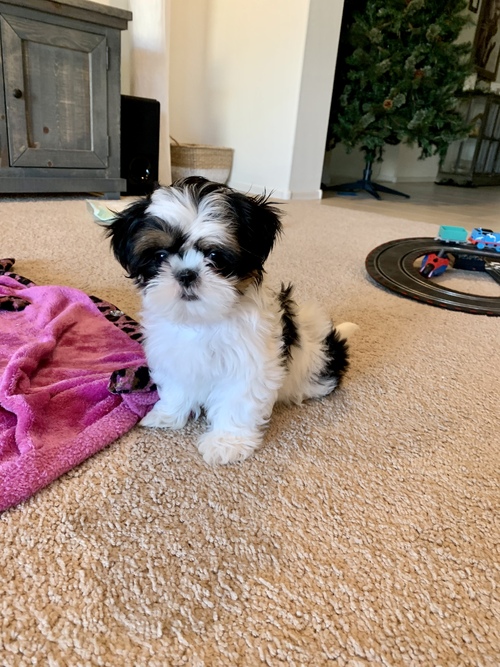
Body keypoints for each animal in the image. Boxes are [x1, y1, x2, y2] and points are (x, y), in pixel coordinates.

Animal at [109, 177, 358, 464]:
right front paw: (168, 415)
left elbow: (237, 401)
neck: (203, 318)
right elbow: (176, 387)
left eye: (215, 257)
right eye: (160, 256)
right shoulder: (175, 355)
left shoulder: (249, 364)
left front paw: (226, 442)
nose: (186, 274)